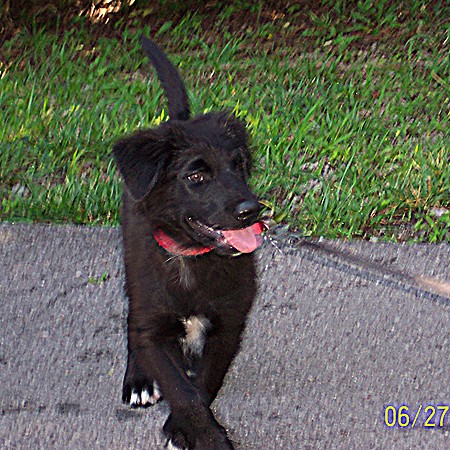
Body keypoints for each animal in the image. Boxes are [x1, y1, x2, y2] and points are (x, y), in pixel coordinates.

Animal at [114, 38, 266, 450]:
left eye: (238, 165)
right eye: (196, 176)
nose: (252, 210)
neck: (192, 258)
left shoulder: (228, 325)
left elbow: (202, 385)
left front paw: (184, 429)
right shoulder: (155, 327)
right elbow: (182, 390)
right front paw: (206, 436)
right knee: (133, 321)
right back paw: (138, 378)